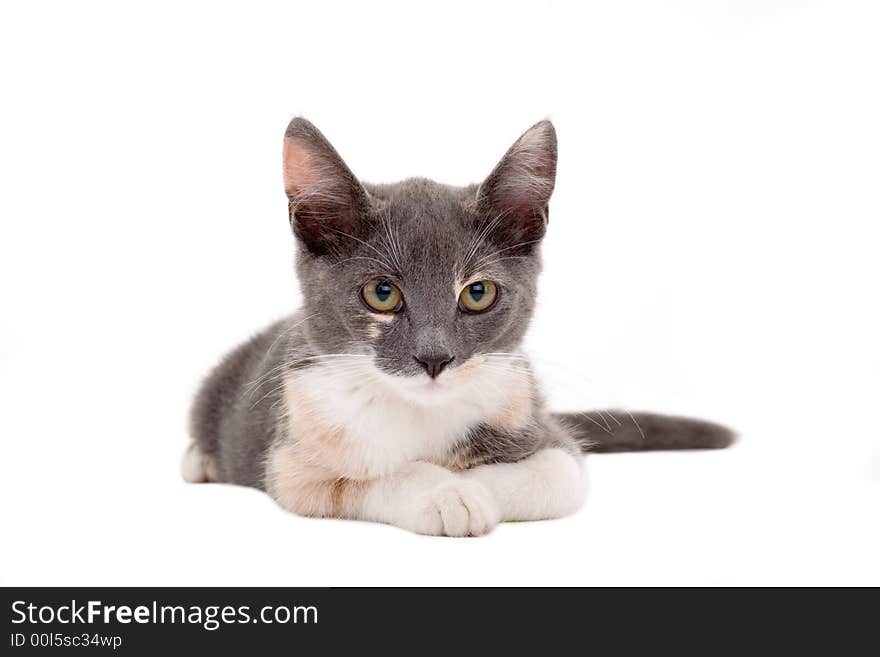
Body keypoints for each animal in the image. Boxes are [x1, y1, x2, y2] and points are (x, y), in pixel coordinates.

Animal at [182, 118, 732, 536]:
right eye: (382, 294)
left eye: (478, 293)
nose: (434, 357)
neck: (419, 413)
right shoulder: (291, 459)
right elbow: (367, 478)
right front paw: (445, 493)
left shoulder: (538, 422)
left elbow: (556, 472)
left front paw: (470, 486)